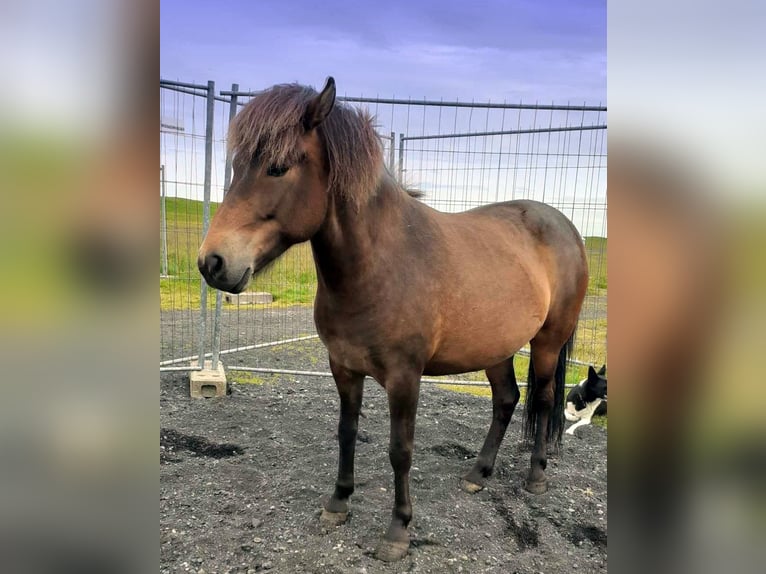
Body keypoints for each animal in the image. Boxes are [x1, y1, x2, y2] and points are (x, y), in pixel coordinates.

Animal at [198, 76, 588, 564]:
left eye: (278, 167)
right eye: (236, 166)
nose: (212, 263)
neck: (379, 266)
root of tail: (565, 227)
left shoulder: (405, 377)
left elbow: (400, 450)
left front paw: (398, 530)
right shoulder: (343, 367)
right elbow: (346, 432)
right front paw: (338, 502)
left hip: (548, 342)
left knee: (542, 400)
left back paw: (536, 477)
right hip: (496, 347)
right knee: (505, 400)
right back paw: (478, 474)